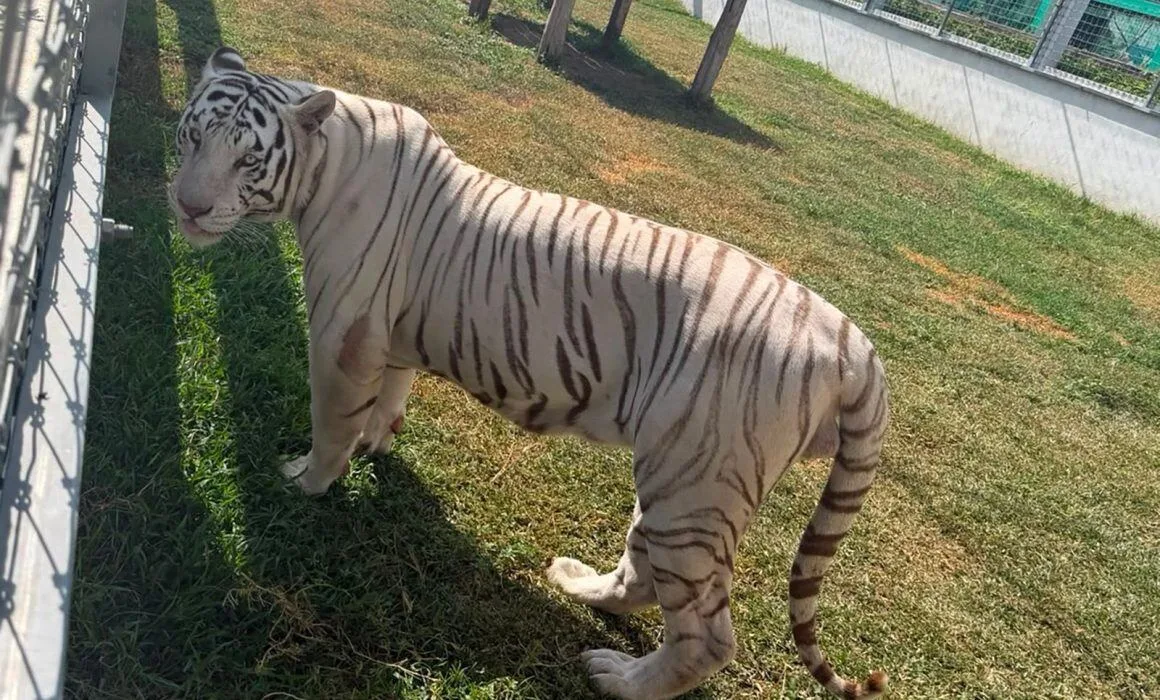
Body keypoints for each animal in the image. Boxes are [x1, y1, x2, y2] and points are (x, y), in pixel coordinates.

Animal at [169, 46, 891, 700]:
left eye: (247, 160)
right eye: (193, 136)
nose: (187, 207)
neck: (327, 160)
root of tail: (852, 343)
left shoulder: (343, 335)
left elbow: (331, 423)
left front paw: (307, 480)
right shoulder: (390, 333)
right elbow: (390, 395)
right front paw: (379, 442)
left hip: (699, 481)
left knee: (707, 635)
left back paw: (617, 678)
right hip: (677, 478)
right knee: (645, 572)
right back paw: (579, 584)